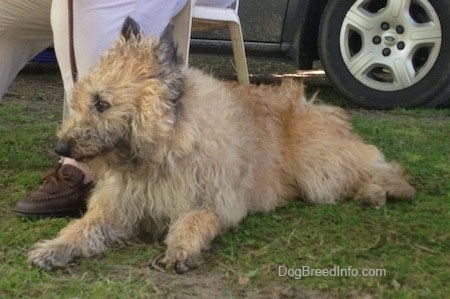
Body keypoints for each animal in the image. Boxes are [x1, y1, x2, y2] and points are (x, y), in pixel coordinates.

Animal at [28, 17, 414, 274]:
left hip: (318, 166)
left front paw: (182, 246)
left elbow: (195, 220)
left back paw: (383, 190)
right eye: (83, 101)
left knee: (382, 167)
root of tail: (315, 104)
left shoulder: (214, 201)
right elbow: (84, 227)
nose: (61, 147)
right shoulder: (118, 208)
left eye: (102, 103)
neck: (164, 147)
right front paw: (56, 246)